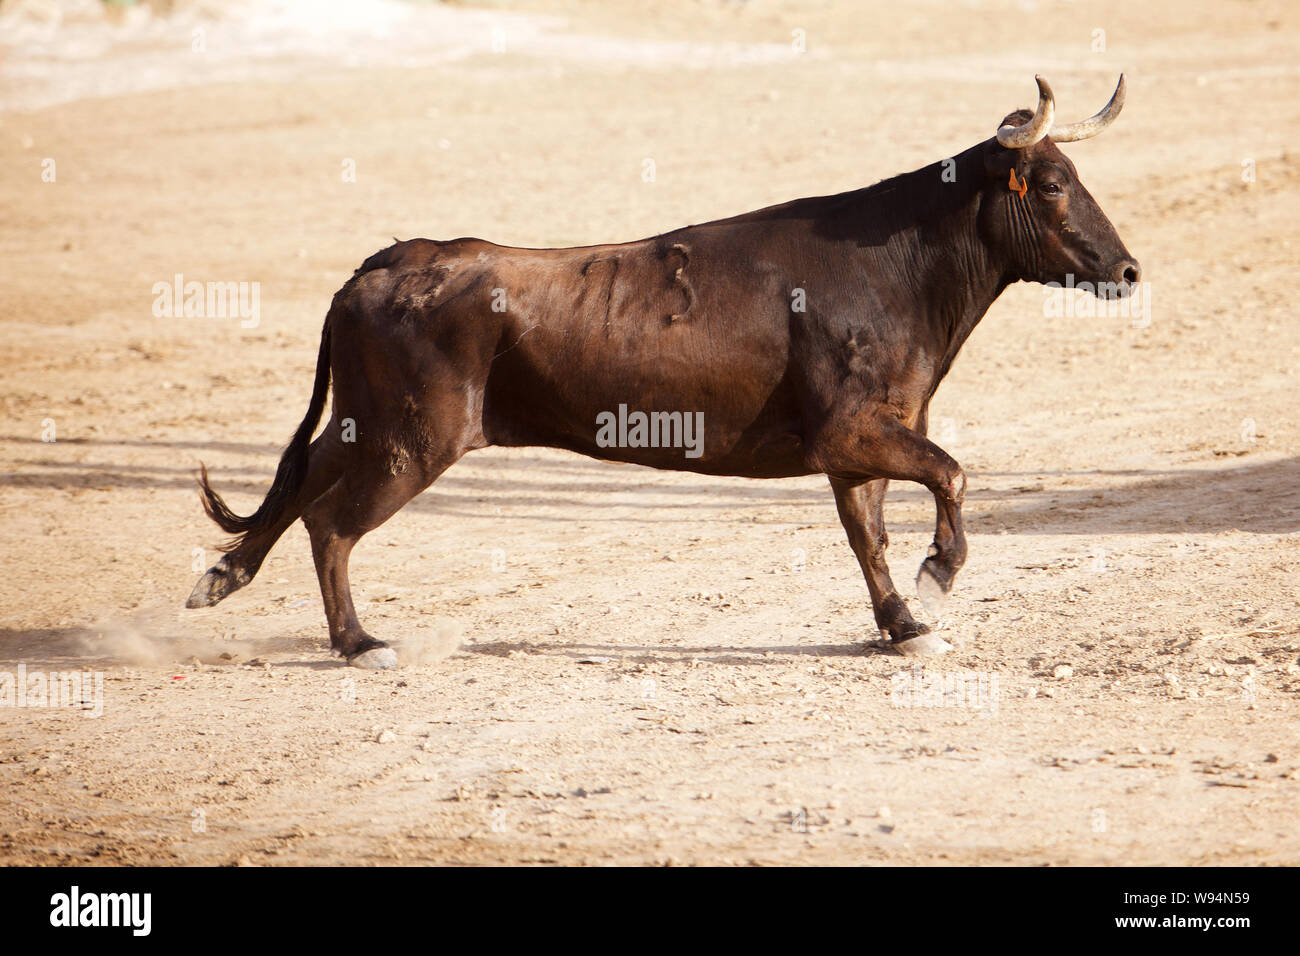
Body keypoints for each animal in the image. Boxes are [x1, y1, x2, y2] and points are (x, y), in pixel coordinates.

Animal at [187, 76, 1140, 669]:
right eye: (1052, 184)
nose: (1129, 271)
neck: (894, 268)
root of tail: (387, 262)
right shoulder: (854, 432)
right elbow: (950, 475)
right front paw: (938, 574)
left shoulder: (862, 442)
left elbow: (869, 533)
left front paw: (904, 627)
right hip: (413, 439)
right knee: (331, 522)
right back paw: (360, 643)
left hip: (372, 423)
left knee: (303, 481)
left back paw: (221, 579)